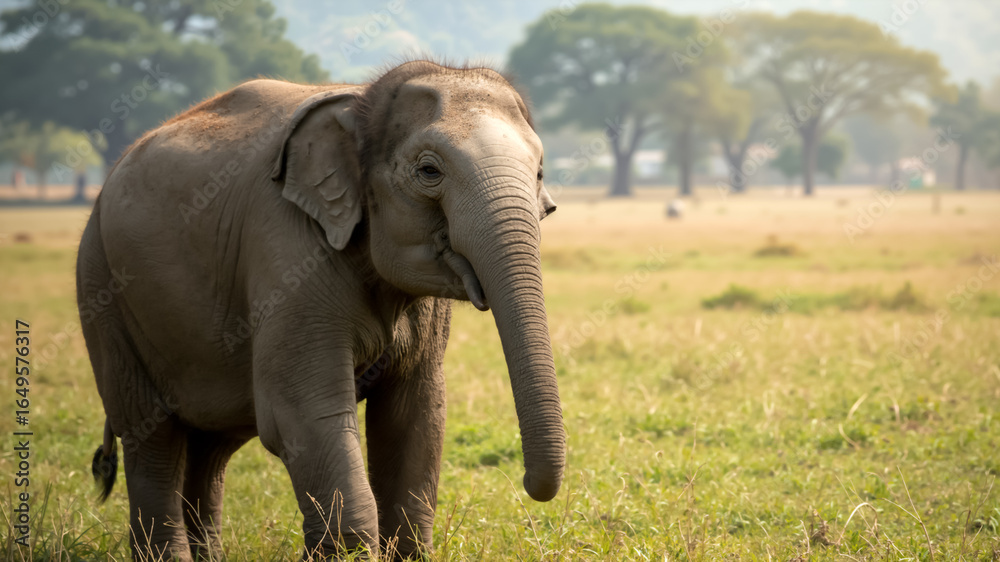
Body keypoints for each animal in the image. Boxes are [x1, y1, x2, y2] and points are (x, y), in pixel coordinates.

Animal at [77, 60, 565, 560]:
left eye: (540, 173)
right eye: (429, 170)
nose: (528, 485)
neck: (362, 102)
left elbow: (416, 414)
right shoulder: (285, 247)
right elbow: (303, 413)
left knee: (213, 442)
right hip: (102, 289)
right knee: (152, 435)